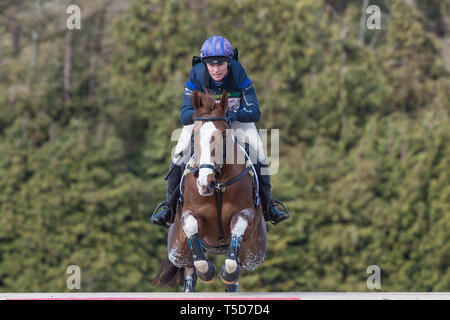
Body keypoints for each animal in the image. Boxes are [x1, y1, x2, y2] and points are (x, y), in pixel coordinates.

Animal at [154, 90, 268, 292]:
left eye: (223, 134)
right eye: (195, 135)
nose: (204, 184)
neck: (218, 185)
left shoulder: (246, 213)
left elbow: (236, 235)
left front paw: (226, 271)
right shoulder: (188, 214)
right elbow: (191, 228)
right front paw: (208, 271)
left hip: (254, 252)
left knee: (234, 272)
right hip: (178, 251)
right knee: (190, 269)